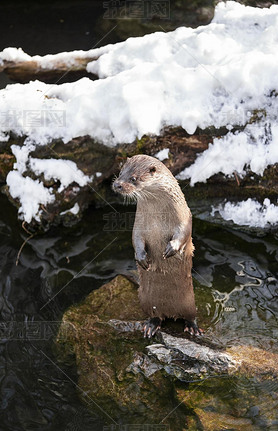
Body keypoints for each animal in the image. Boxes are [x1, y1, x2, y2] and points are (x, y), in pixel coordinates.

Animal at [113, 154, 202, 340]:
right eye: (120, 173)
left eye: (133, 178)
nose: (117, 184)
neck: (158, 217)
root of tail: (171, 313)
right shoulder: (138, 224)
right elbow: (136, 238)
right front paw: (141, 258)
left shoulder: (183, 216)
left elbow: (184, 232)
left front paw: (171, 249)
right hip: (146, 301)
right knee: (156, 315)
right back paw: (151, 326)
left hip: (189, 302)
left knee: (190, 315)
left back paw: (193, 328)